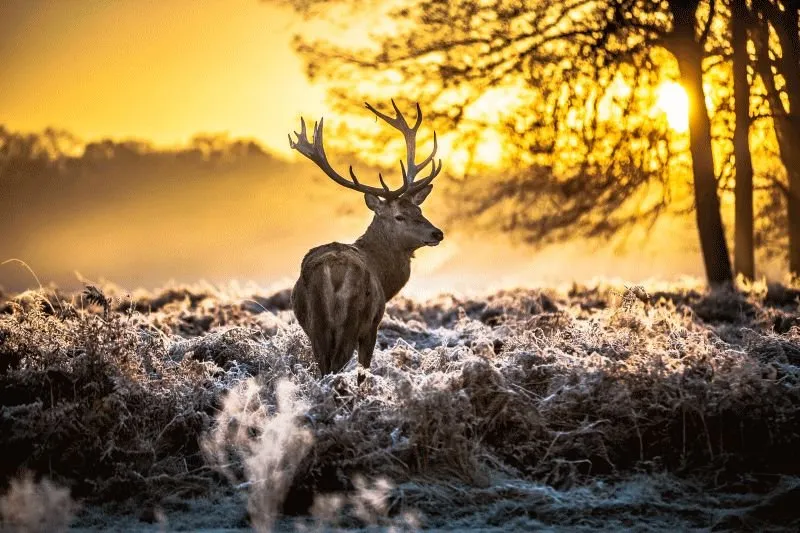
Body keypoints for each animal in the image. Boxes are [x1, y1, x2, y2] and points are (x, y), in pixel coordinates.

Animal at [288, 100, 444, 383]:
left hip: (316, 324)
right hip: (352, 321)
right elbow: (364, 369)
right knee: (336, 366)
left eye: (419, 210)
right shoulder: (373, 325)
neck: (384, 276)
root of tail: (333, 273)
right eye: (399, 216)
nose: (437, 233)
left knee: (323, 367)